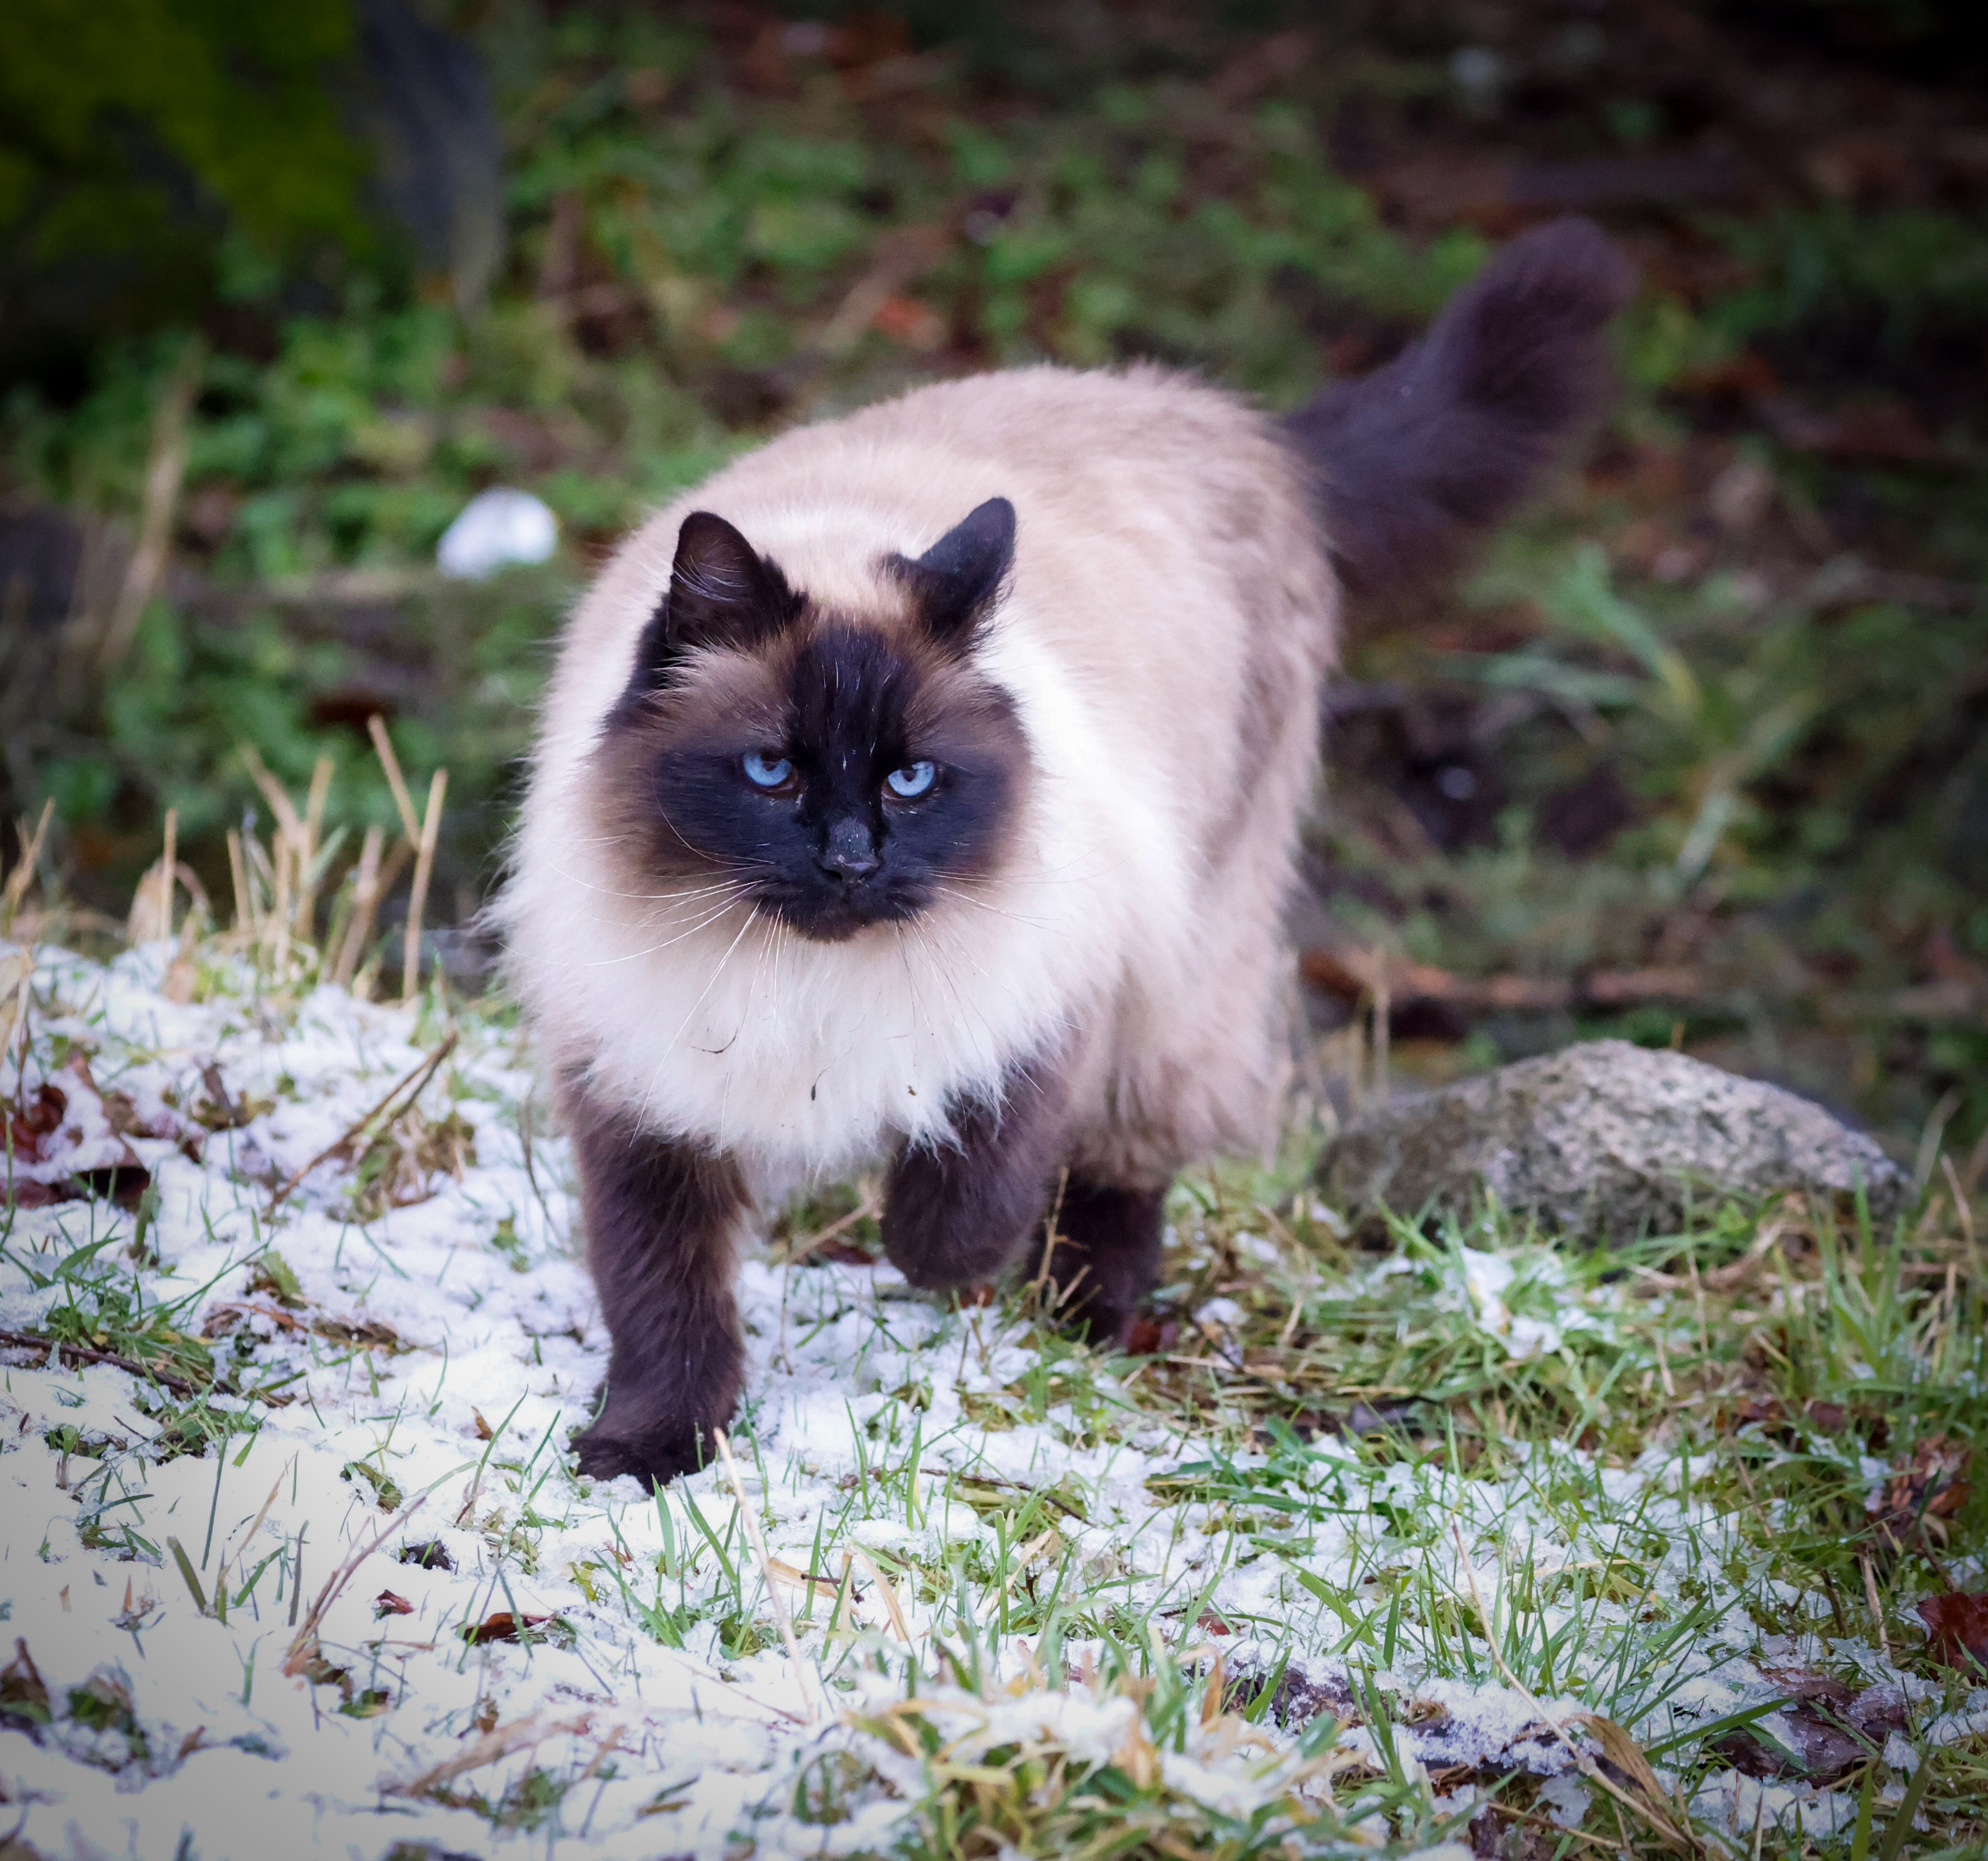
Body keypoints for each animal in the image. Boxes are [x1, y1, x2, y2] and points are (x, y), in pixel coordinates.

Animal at [497, 214, 1630, 1479]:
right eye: (772, 772)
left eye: (910, 779)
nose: (849, 860)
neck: (807, 981)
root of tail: (1226, 418)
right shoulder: (643, 1098)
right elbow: (663, 1298)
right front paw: (650, 1452)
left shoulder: (1050, 1007)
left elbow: (955, 1210)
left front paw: (949, 1268)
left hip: (1191, 951)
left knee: (1132, 1151)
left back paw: (1090, 1311)